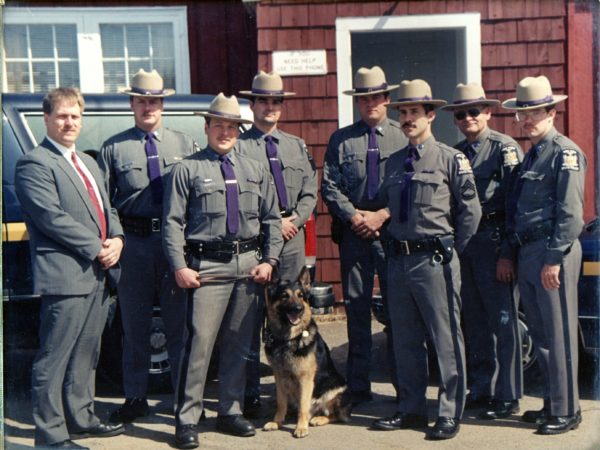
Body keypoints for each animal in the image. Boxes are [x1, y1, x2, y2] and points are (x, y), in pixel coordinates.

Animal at [262, 268, 352, 436]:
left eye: (301, 296)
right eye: (284, 295)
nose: (299, 309)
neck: (287, 340)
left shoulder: (306, 379)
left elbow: (303, 406)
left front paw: (301, 427)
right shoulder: (279, 376)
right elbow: (281, 402)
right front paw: (277, 421)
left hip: (336, 390)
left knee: (335, 415)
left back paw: (318, 419)